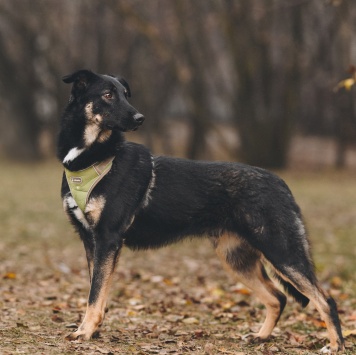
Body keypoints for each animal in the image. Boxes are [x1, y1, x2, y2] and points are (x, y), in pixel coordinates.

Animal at [57, 69, 344, 354]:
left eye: (125, 94)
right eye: (108, 94)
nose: (140, 118)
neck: (94, 156)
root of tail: (280, 182)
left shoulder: (108, 240)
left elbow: (95, 294)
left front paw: (84, 331)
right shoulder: (92, 241)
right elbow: (97, 291)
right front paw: (93, 331)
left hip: (281, 252)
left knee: (325, 299)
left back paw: (335, 345)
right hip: (236, 259)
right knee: (278, 297)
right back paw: (261, 337)